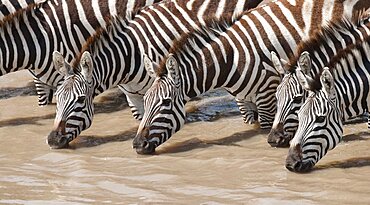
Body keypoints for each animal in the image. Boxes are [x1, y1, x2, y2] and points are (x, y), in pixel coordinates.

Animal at [47, 0, 260, 148]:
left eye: (81, 100)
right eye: (58, 97)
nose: (52, 140)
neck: (129, 55)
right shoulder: (133, 96)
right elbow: (144, 120)